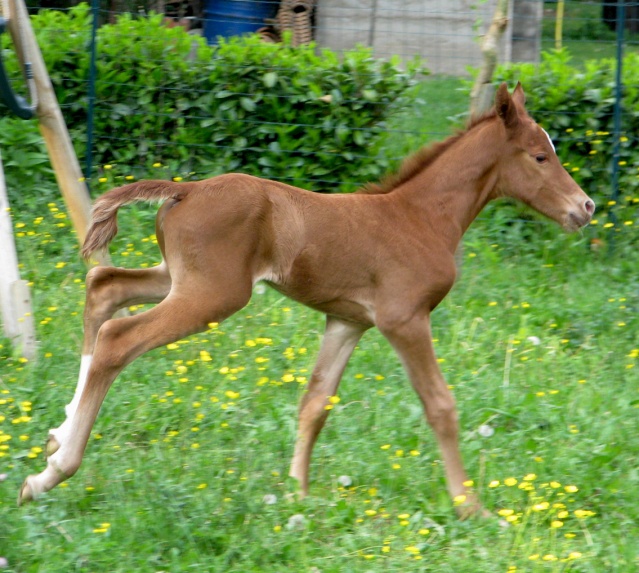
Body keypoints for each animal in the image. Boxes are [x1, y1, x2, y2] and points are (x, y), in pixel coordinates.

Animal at [17, 81, 596, 512]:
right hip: (213, 295)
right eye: (539, 156)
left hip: (179, 279)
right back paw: (53, 472)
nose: (585, 207)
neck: (420, 217)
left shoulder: (348, 321)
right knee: (118, 336)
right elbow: (440, 404)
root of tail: (189, 188)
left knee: (105, 287)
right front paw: (468, 505)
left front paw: (297, 495)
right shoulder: (404, 318)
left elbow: (314, 403)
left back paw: (57, 432)